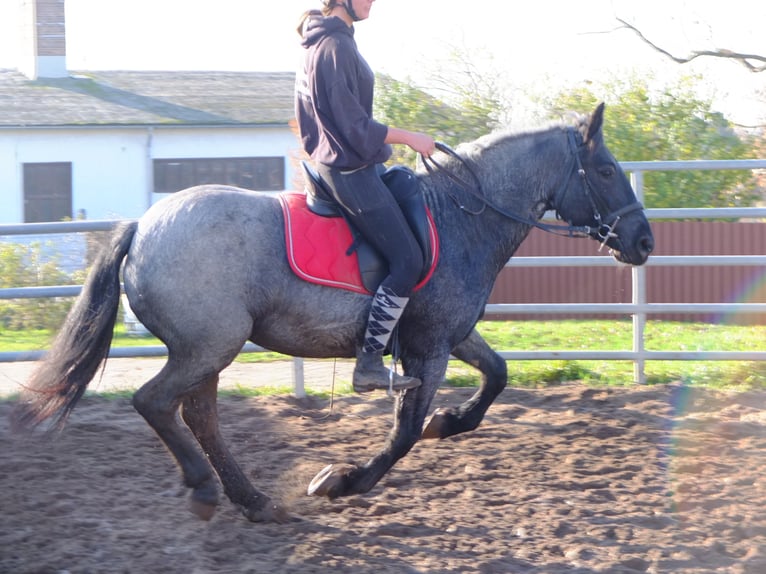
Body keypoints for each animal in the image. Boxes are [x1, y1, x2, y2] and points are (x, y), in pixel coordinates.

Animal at [12, 102, 656, 520]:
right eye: (605, 170)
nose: (644, 241)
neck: (461, 213)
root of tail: (144, 226)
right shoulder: (428, 347)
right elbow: (403, 433)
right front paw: (341, 481)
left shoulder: (446, 334)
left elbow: (496, 376)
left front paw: (448, 422)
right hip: (209, 345)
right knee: (155, 403)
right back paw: (207, 490)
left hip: (208, 351)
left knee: (198, 415)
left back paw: (253, 501)